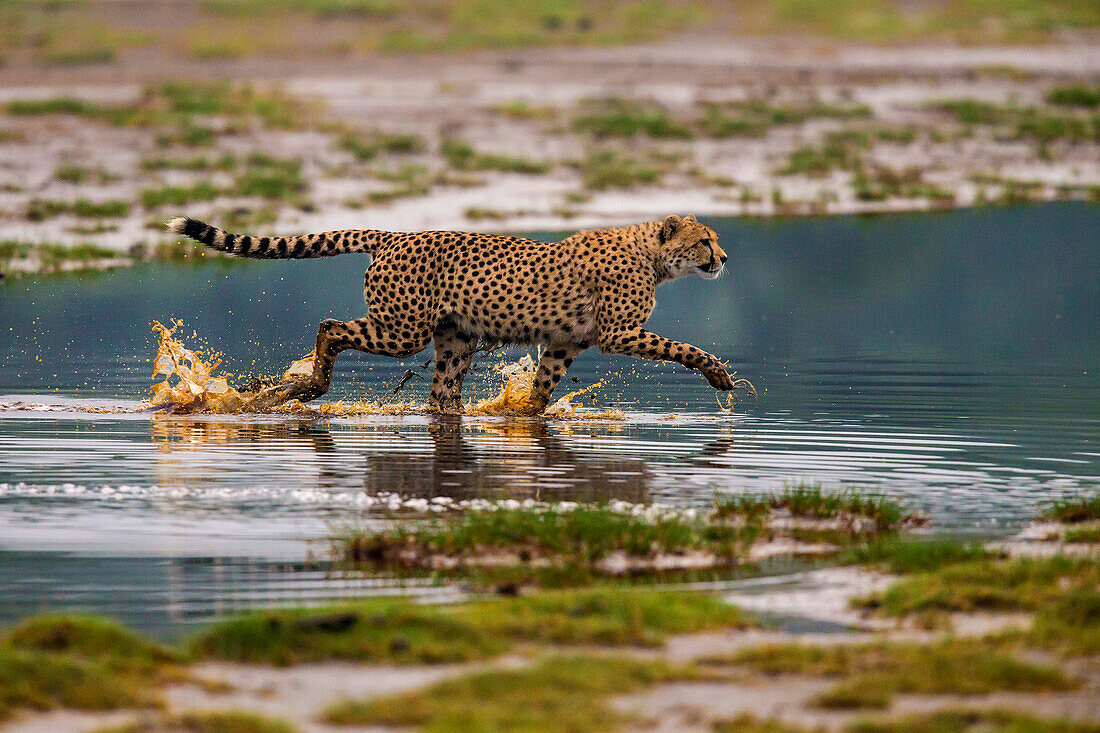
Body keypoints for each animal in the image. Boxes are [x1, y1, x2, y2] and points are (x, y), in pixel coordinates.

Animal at [167, 214, 739, 413]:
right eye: (705, 240)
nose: (725, 259)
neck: (652, 255)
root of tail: (395, 234)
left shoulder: (565, 341)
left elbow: (542, 387)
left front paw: (522, 416)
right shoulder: (619, 333)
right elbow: (682, 347)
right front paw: (718, 375)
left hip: (454, 339)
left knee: (441, 394)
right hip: (402, 330)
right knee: (331, 327)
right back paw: (311, 385)